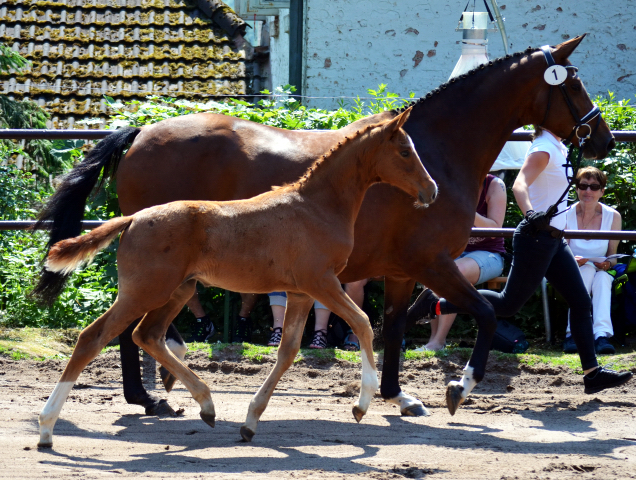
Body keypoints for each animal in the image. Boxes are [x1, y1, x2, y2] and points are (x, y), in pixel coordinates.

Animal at [37, 107, 440, 448]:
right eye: (405, 151)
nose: (432, 191)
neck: (316, 206)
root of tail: (133, 219)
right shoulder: (321, 282)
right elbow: (363, 323)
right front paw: (361, 405)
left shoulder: (300, 292)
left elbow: (287, 351)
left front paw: (250, 423)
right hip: (145, 291)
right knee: (94, 337)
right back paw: (46, 427)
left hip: (178, 290)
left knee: (146, 335)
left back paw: (205, 404)